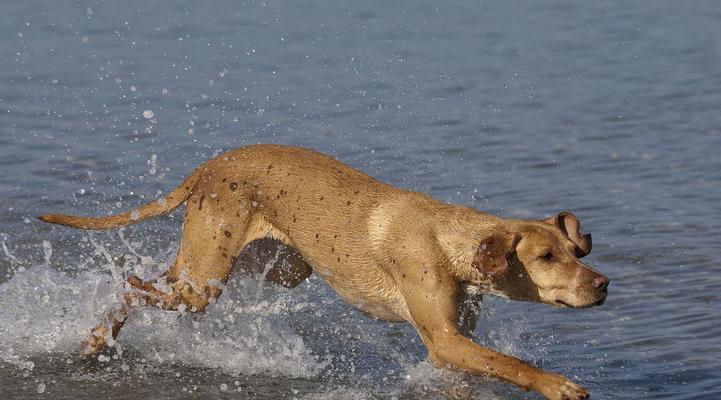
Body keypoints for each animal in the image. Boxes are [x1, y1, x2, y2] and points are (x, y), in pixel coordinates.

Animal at [40, 145, 608, 400]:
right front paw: (559, 384)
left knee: (146, 283)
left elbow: (482, 369)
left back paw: (98, 336)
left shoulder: (454, 347)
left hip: (262, 268)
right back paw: (103, 330)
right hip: (204, 282)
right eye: (546, 258)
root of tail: (211, 164)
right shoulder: (446, 341)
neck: (451, 241)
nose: (602, 284)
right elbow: (513, 363)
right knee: (136, 288)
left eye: (573, 252)